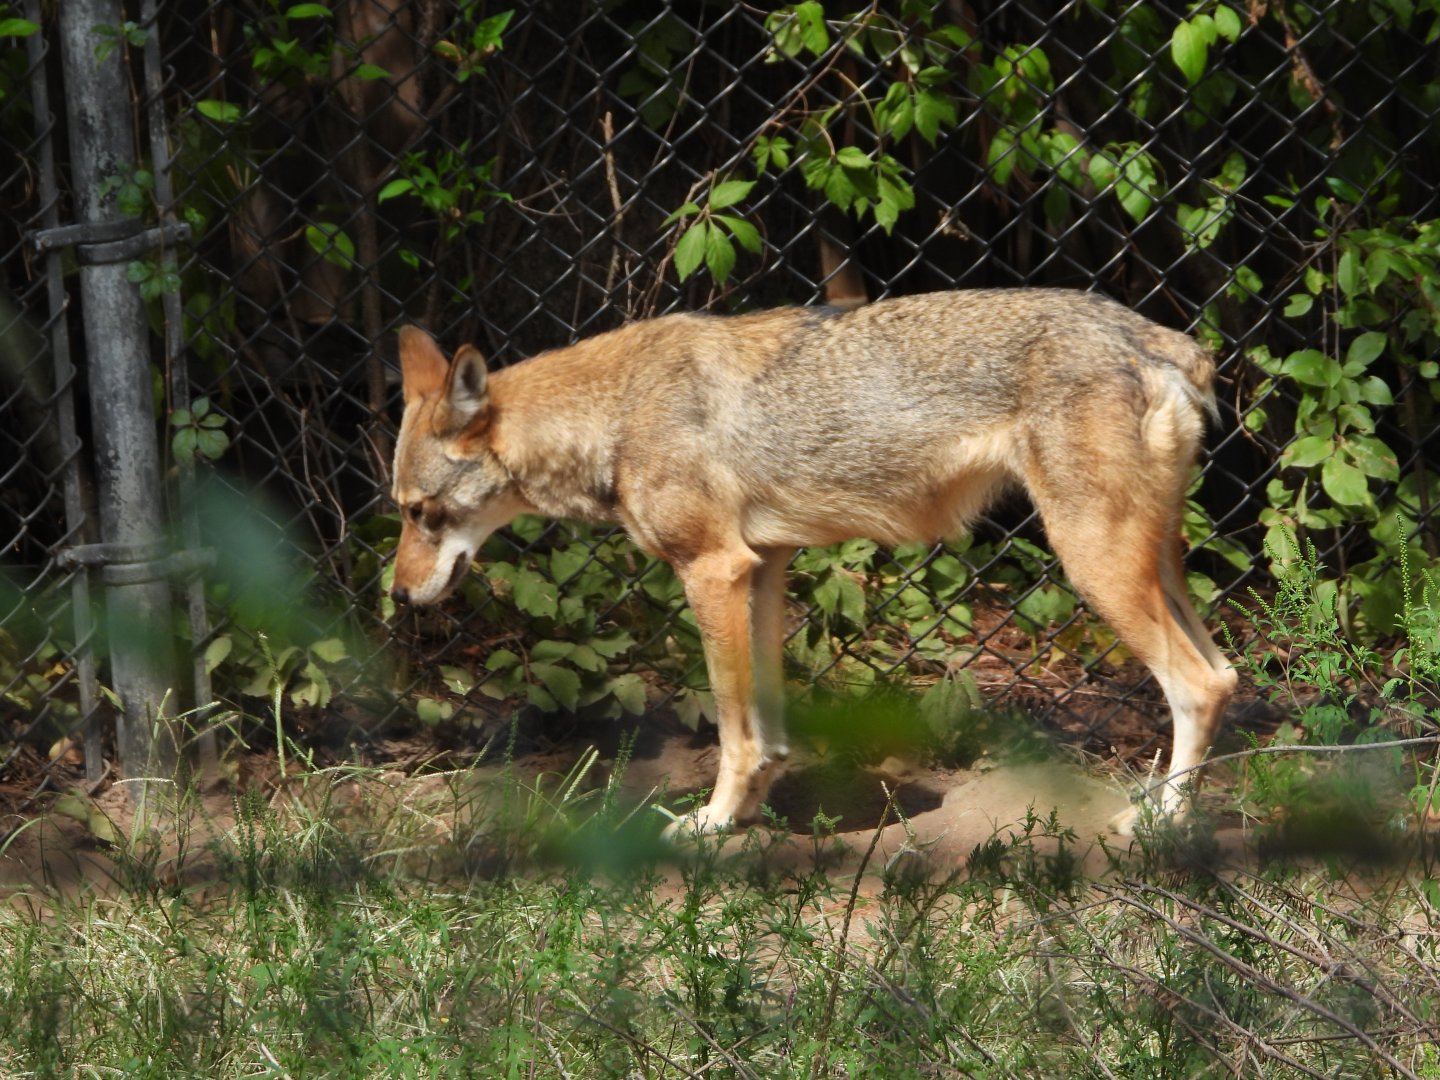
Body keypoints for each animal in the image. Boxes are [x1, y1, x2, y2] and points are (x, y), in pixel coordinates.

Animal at [389, 290, 1237, 837]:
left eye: (417, 512)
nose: (394, 597)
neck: (618, 412)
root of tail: (1166, 343)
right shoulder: (763, 568)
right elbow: (766, 728)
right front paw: (747, 813)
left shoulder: (714, 570)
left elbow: (733, 727)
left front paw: (712, 822)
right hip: (1151, 567)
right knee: (1225, 675)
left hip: (1094, 565)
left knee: (1195, 684)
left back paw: (1160, 822)